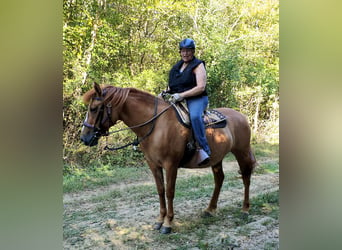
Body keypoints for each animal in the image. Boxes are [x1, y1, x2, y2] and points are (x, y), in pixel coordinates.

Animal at [81, 82, 256, 234]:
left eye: (94, 109)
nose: (84, 138)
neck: (156, 125)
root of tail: (241, 116)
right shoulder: (153, 165)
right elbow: (160, 190)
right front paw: (159, 220)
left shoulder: (171, 165)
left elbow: (170, 192)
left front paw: (168, 223)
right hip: (217, 158)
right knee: (219, 179)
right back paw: (210, 209)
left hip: (242, 152)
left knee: (246, 176)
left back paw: (245, 209)